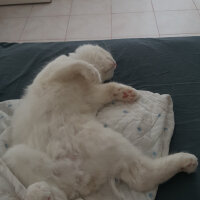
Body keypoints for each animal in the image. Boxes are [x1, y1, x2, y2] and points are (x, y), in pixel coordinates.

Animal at [2, 44, 198, 200]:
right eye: (108, 56)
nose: (115, 63)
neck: (82, 84)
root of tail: (80, 180)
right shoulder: (55, 71)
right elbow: (78, 65)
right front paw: (92, 72)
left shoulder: (93, 96)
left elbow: (107, 88)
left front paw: (126, 92)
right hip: (16, 155)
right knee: (143, 176)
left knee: (142, 177)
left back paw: (187, 162)